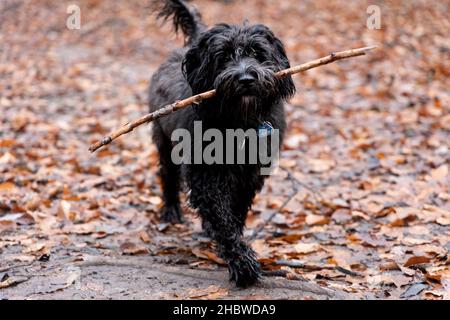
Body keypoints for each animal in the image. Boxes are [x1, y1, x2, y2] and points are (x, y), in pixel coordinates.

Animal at [149, 0, 296, 286]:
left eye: (257, 53)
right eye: (225, 57)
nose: (246, 79)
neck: (238, 121)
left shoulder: (249, 175)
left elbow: (234, 210)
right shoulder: (203, 174)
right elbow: (221, 216)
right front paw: (242, 263)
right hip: (164, 140)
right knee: (168, 175)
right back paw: (171, 211)